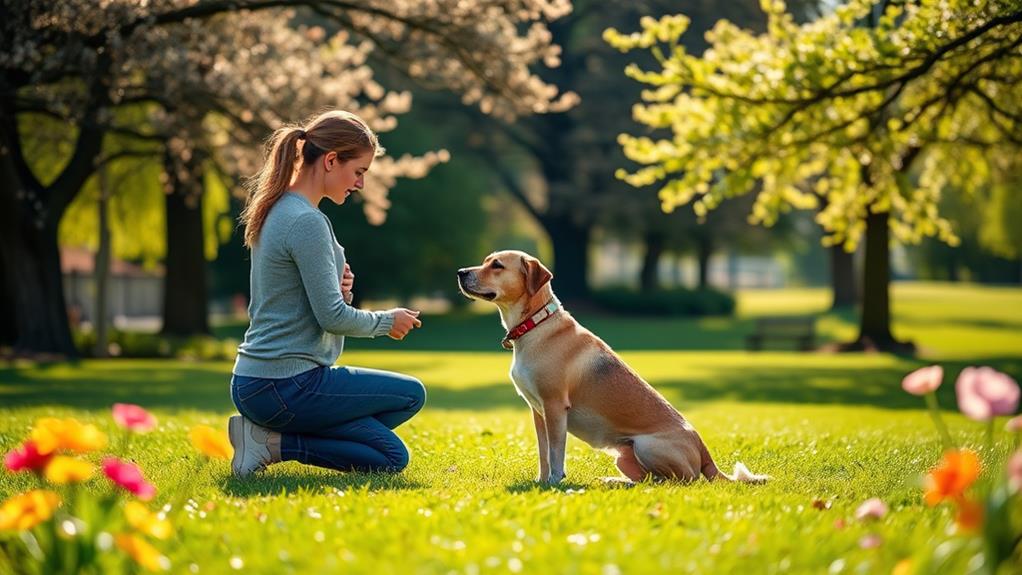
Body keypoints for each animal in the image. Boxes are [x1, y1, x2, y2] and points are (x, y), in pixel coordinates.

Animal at [457, 252, 768, 486]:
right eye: (485, 261)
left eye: (497, 265)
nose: (460, 272)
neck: (537, 324)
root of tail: (704, 450)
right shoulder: (538, 411)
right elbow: (544, 453)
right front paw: (542, 482)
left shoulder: (555, 407)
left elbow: (556, 452)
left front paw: (555, 483)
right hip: (624, 456)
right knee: (647, 479)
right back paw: (616, 482)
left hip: (648, 447)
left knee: (681, 480)